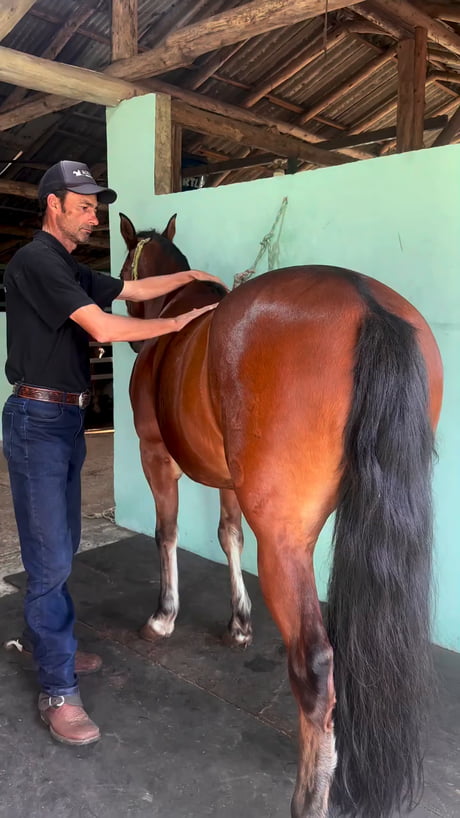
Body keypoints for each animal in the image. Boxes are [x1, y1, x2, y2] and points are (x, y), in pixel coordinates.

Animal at [119, 212, 443, 818]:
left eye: (126, 269)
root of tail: (368, 305)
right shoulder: (227, 478)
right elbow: (228, 536)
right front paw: (239, 624)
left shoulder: (157, 457)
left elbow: (166, 533)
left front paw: (164, 616)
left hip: (285, 538)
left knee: (315, 664)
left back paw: (310, 795)